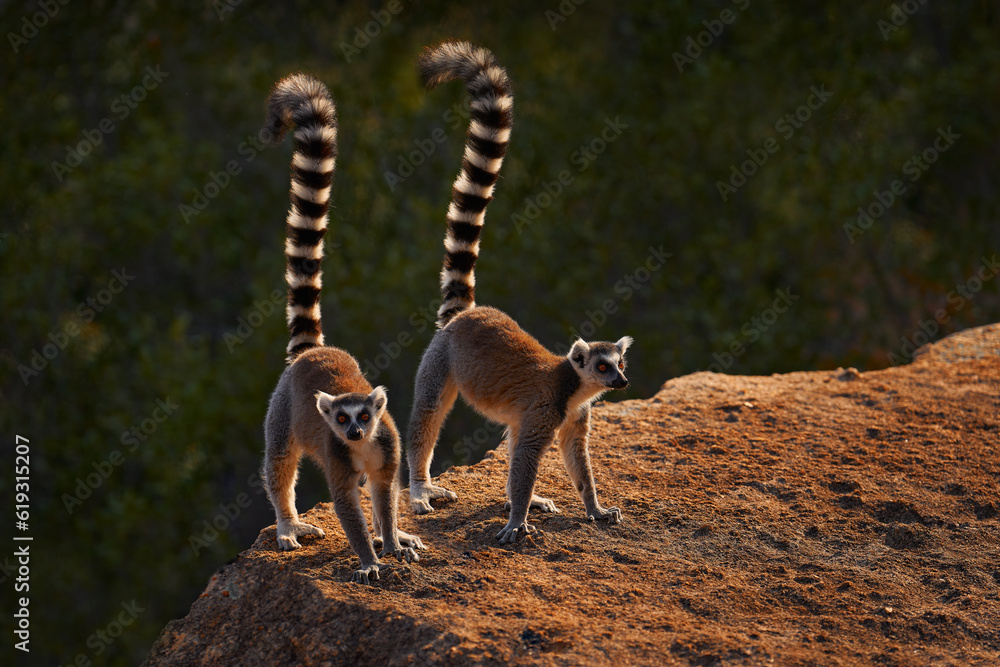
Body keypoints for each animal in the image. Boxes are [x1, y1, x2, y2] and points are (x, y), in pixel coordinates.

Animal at [261, 73, 423, 584]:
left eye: (365, 417)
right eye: (340, 419)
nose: (352, 434)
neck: (364, 448)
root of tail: (314, 353)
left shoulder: (389, 448)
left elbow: (385, 495)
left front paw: (392, 542)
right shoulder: (337, 458)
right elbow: (346, 503)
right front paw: (370, 560)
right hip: (282, 407)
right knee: (279, 461)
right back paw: (287, 524)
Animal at [405, 41, 633, 545]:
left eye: (621, 365)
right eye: (602, 366)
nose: (622, 383)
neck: (575, 389)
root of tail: (468, 314)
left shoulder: (575, 420)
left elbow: (576, 461)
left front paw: (595, 508)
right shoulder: (546, 410)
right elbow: (527, 457)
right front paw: (516, 521)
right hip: (440, 359)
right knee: (428, 410)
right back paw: (421, 488)